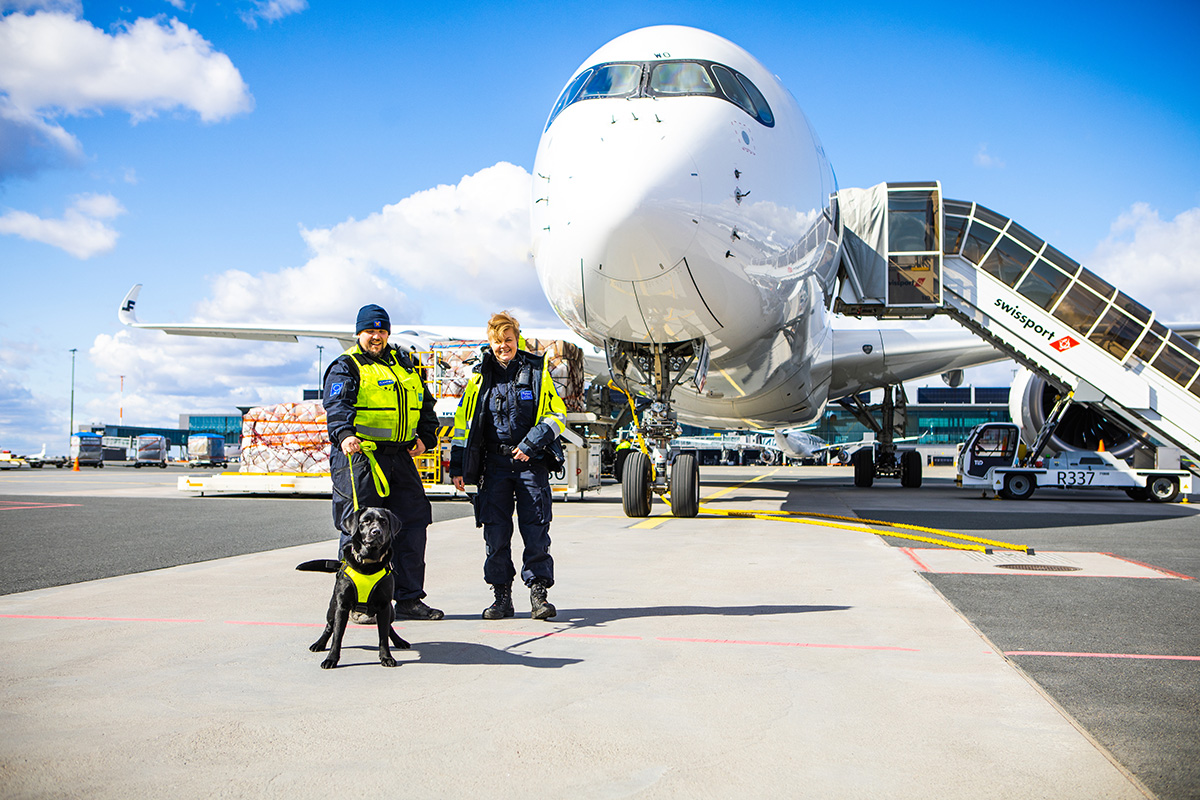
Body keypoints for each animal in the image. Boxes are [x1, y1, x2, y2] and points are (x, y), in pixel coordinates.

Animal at [300, 506, 412, 671]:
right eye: (365, 521)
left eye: (384, 522)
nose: (376, 532)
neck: (368, 563)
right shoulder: (342, 607)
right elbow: (337, 636)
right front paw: (331, 659)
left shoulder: (384, 606)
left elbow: (383, 636)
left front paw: (386, 657)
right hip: (332, 608)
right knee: (329, 626)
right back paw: (319, 644)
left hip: (390, 611)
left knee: (389, 627)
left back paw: (399, 641)